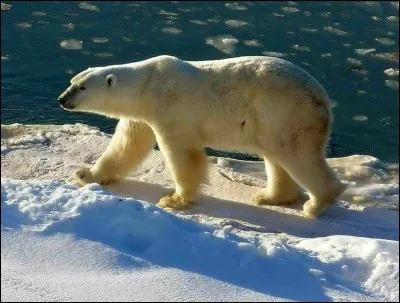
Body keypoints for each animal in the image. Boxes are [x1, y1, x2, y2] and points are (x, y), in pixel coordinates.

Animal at [58, 55, 346, 218]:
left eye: (81, 87)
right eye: (71, 81)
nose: (62, 99)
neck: (147, 84)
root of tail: (324, 98)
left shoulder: (171, 108)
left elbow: (182, 154)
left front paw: (174, 200)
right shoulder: (141, 115)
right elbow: (126, 145)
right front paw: (86, 174)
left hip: (287, 113)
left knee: (296, 154)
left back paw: (317, 204)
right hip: (271, 121)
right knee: (275, 156)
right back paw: (270, 196)